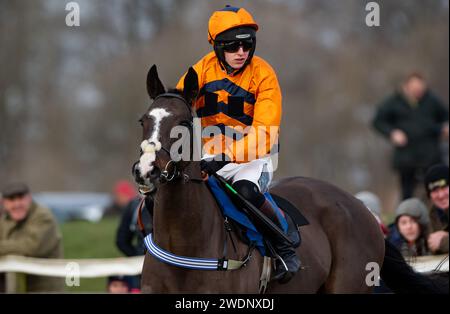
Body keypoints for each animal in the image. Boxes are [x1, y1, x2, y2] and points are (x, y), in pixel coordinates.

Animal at [135, 65, 384, 294]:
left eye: (184, 123)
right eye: (143, 121)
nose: (146, 170)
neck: (183, 243)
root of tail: (361, 207)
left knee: (247, 189)